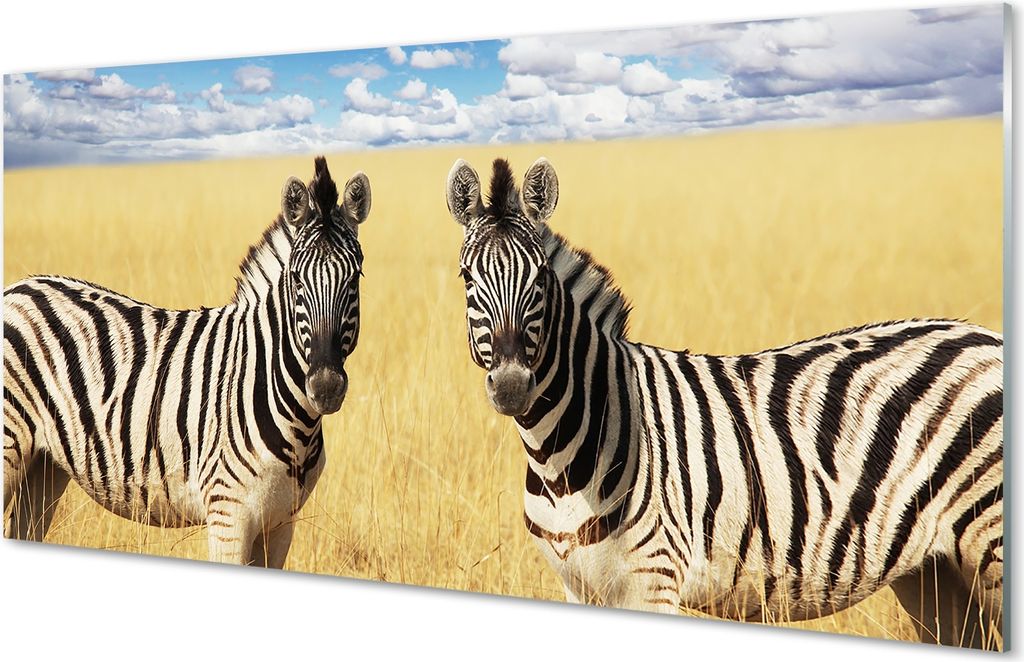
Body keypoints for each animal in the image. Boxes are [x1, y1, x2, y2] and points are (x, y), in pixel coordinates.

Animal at [3, 156, 371, 568]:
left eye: (355, 278)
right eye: (296, 281)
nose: (325, 387)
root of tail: (18, 287)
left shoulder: (281, 524)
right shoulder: (229, 515)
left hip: (45, 466)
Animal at [444, 157, 1003, 648]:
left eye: (539, 278)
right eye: (467, 279)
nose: (512, 387)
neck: (560, 456)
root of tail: (985, 335)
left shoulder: (652, 579)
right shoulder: (577, 585)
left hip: (990, 546)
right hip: (932, 570)